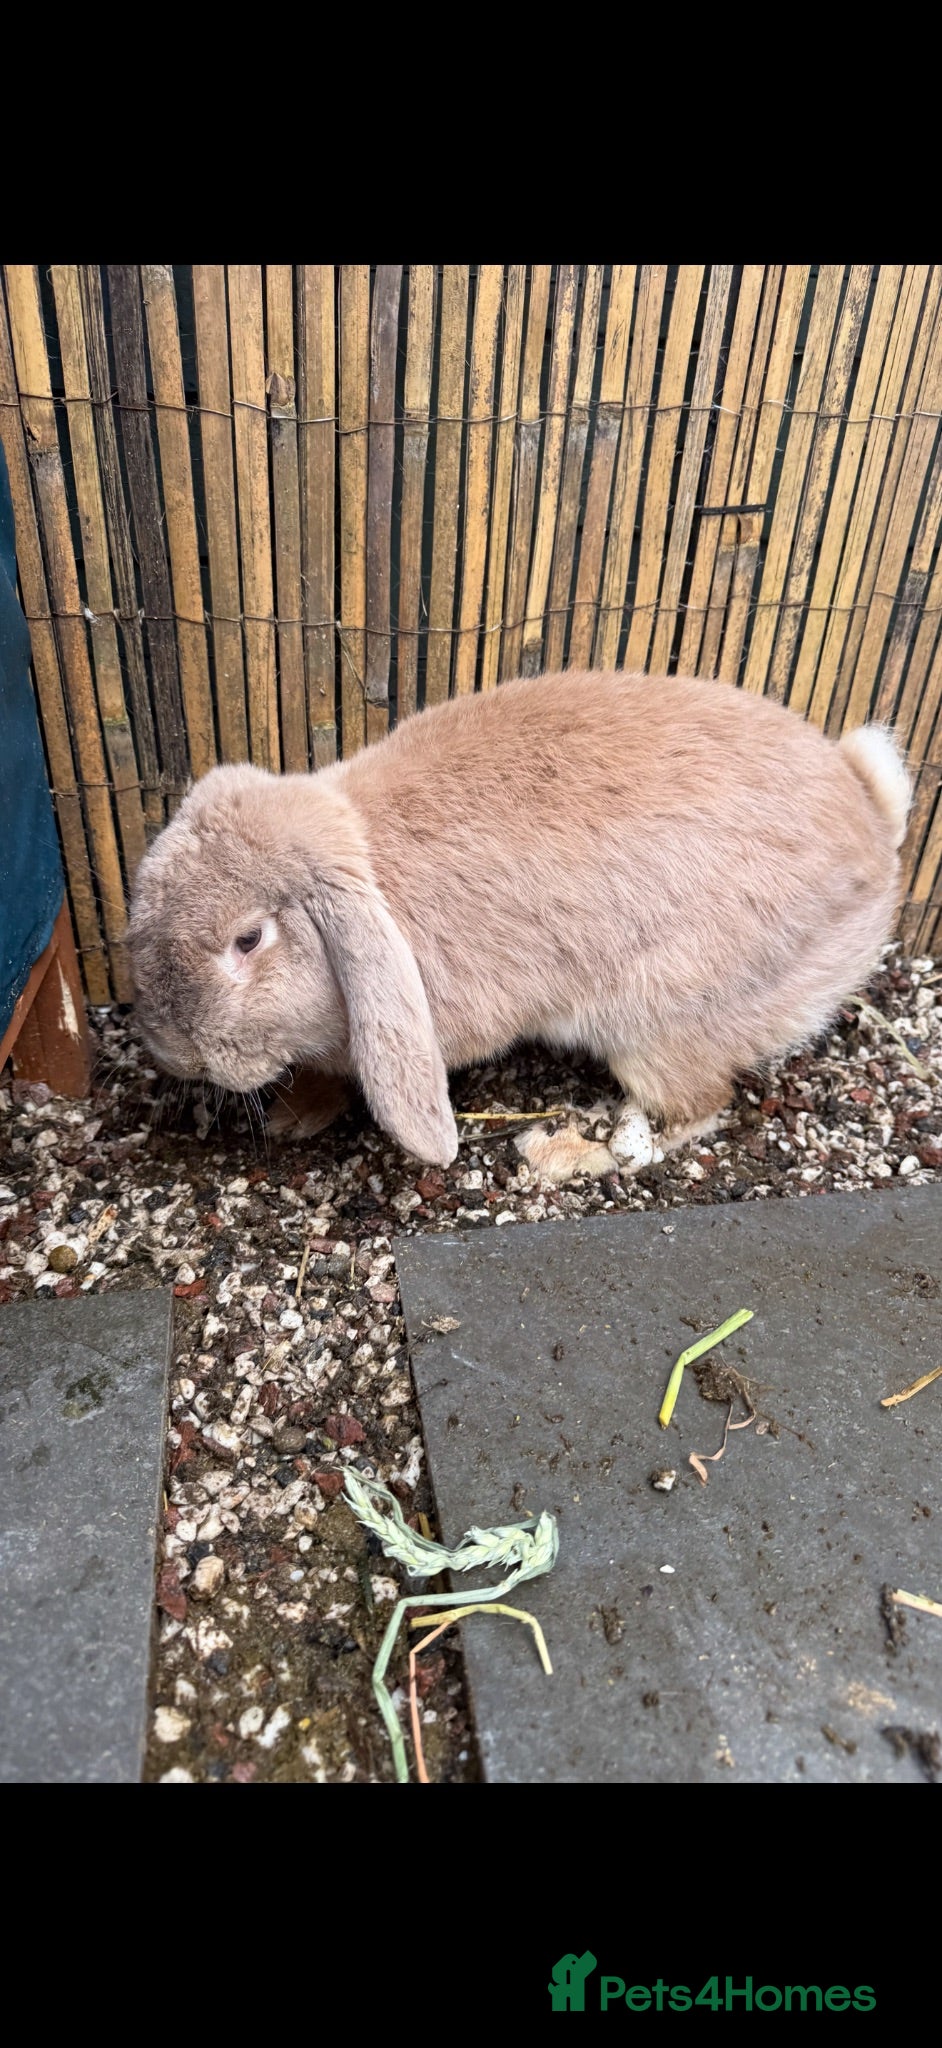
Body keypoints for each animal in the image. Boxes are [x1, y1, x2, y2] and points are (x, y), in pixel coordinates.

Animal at [126, 668, 912, 1182]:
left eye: (248, 939)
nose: (170, 1051)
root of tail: (875, 833)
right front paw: (295, 1116)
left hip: (662, 1022)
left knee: (690, 1111)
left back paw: (577, 1153)